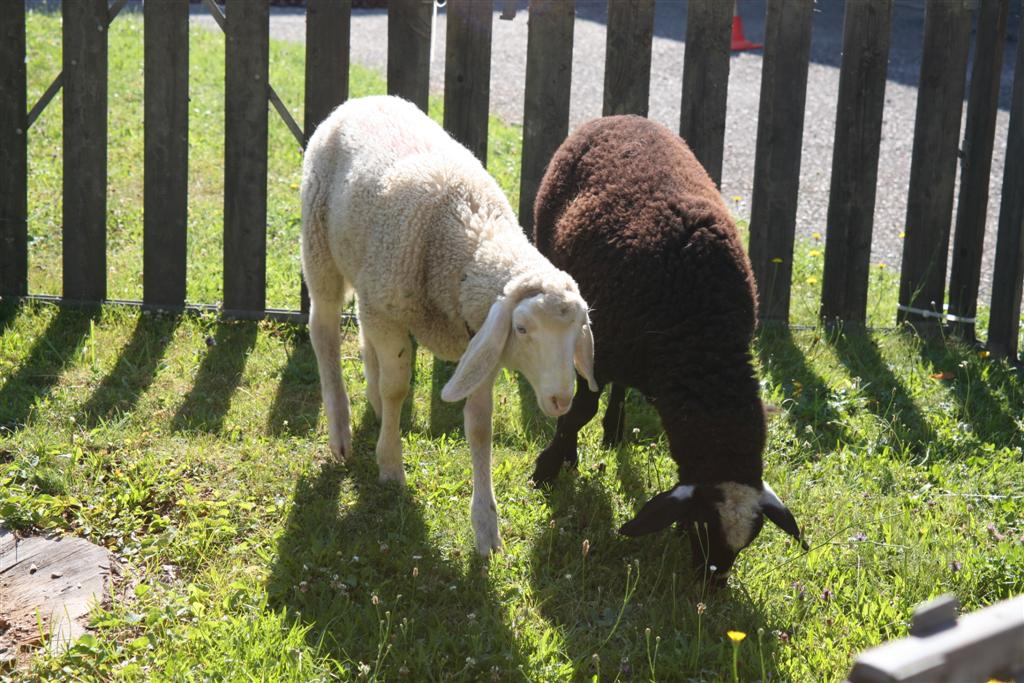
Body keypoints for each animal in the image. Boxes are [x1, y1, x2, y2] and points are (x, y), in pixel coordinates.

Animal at [299, 96, 598, 557]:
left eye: (579, 329)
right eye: (523, 328)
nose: (561, 399)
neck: (468, 238)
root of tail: (365, 99)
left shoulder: (480, 343)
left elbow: (479, 427)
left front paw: (486, 526)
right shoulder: (393, 312)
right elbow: (398, 387)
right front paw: (390, 464)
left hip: (367, 284)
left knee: (364, 341)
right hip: (320, 249)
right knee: (324, 331)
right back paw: (341, 430)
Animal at [532, 117, 802, 577]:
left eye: (751, 537)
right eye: (700, 523)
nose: (712, 582)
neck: (703, 338)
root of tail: (622, 116)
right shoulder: (600, 350)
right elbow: (579, 411)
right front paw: (551, 466)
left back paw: (615, 430)